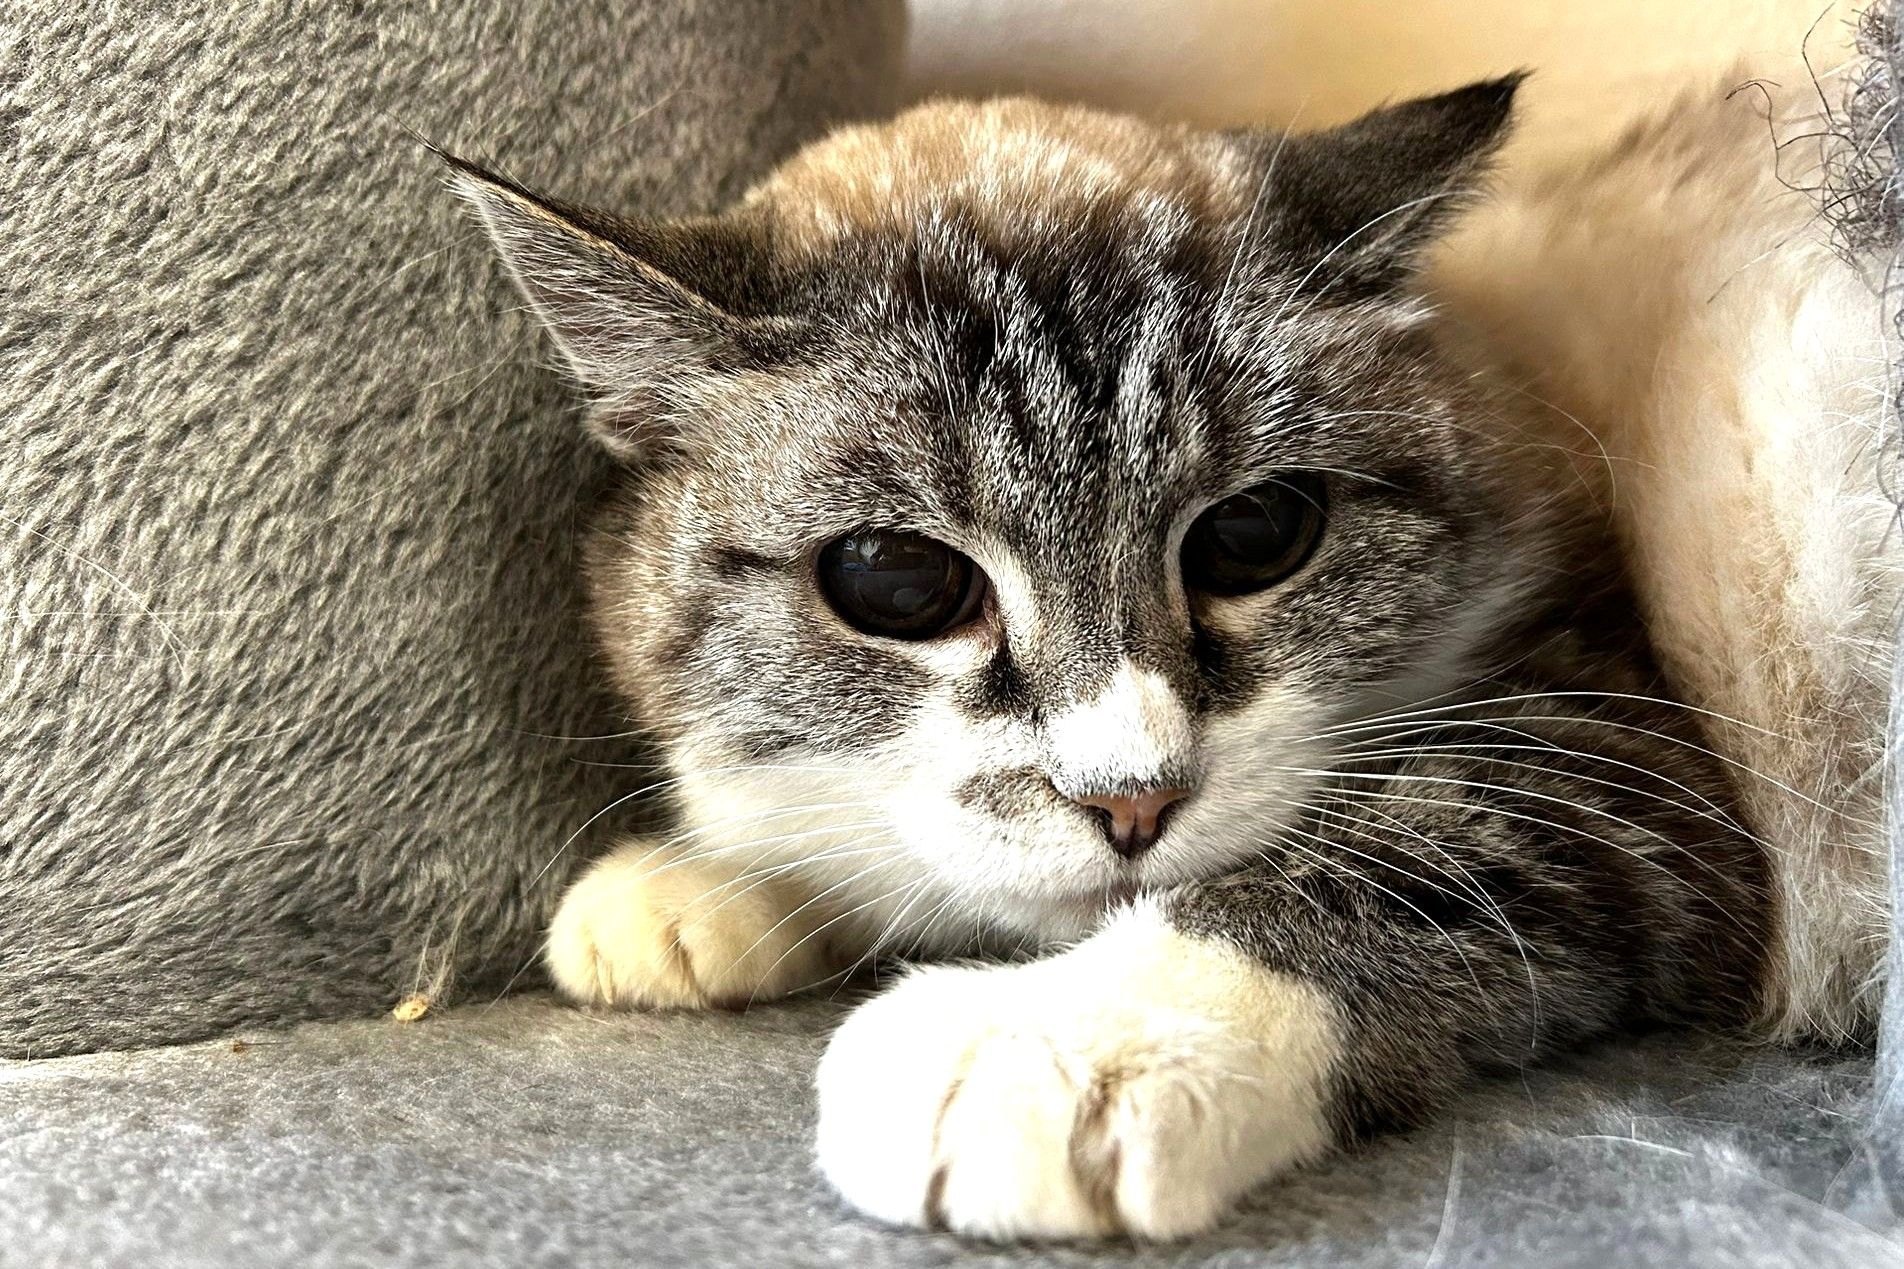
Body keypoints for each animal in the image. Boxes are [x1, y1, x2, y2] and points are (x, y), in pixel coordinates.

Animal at [452, 66, 1888, 1241]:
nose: (1131, 804)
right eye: (897, 582)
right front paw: (693, 888)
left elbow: (1393, 851)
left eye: (1255, 534)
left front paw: (1049, 1042)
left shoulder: (1632, 744)